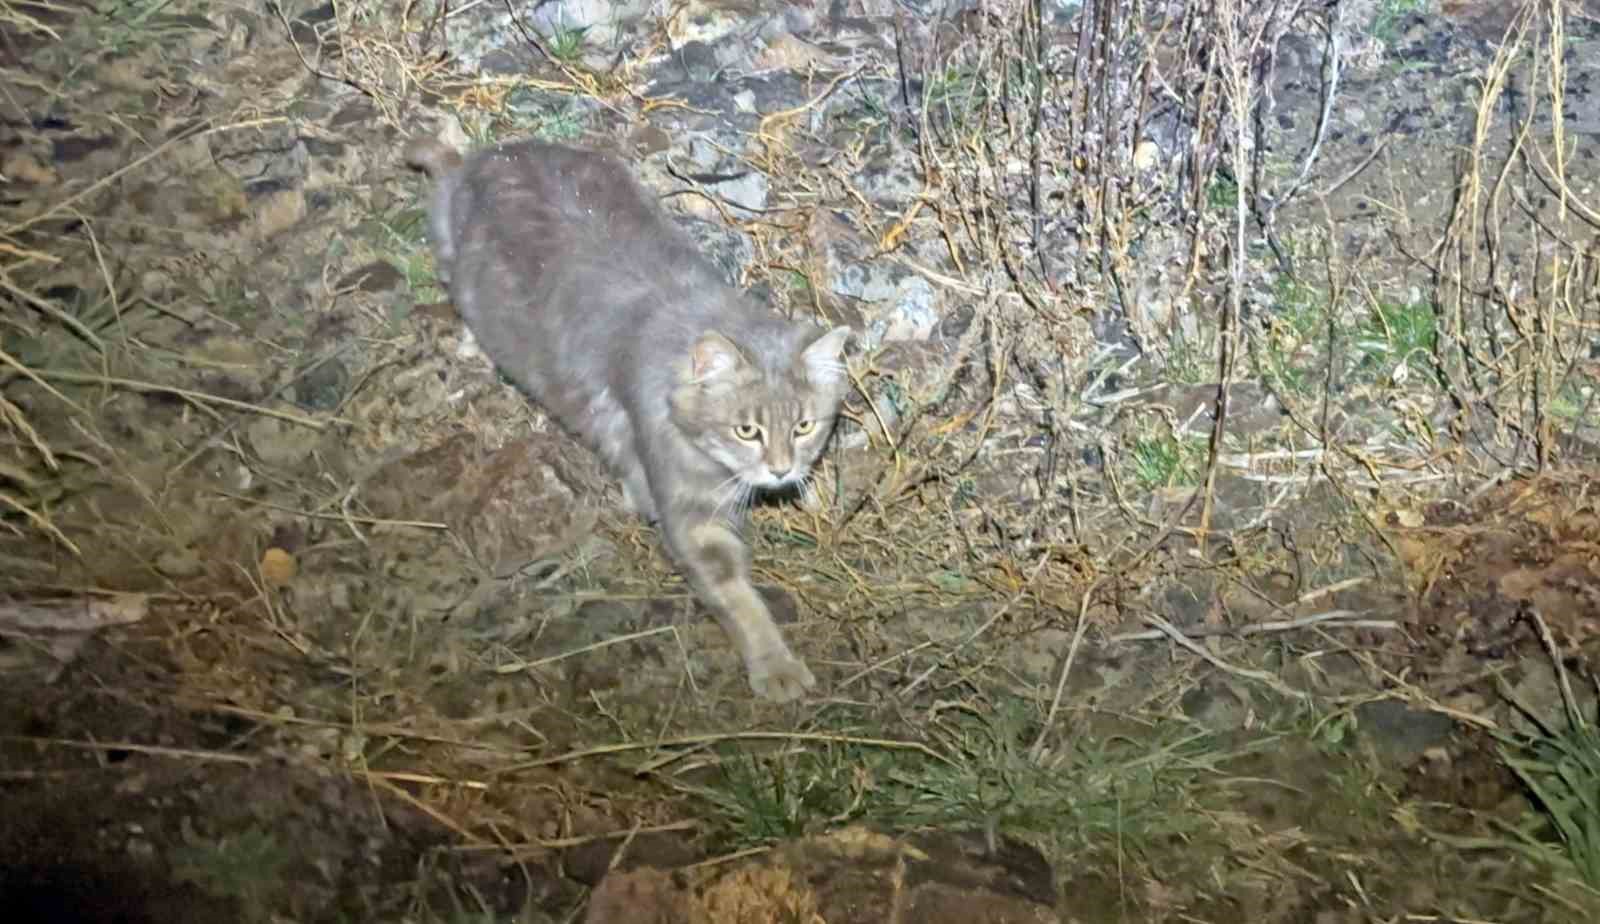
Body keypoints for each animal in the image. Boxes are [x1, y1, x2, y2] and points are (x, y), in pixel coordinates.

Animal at [403, 135, 851, 696]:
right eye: (747, 430)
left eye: (803, 427)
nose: (780, 470)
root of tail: (471, 163)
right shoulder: (691, 514)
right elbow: (738, 598)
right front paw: (777, 667)